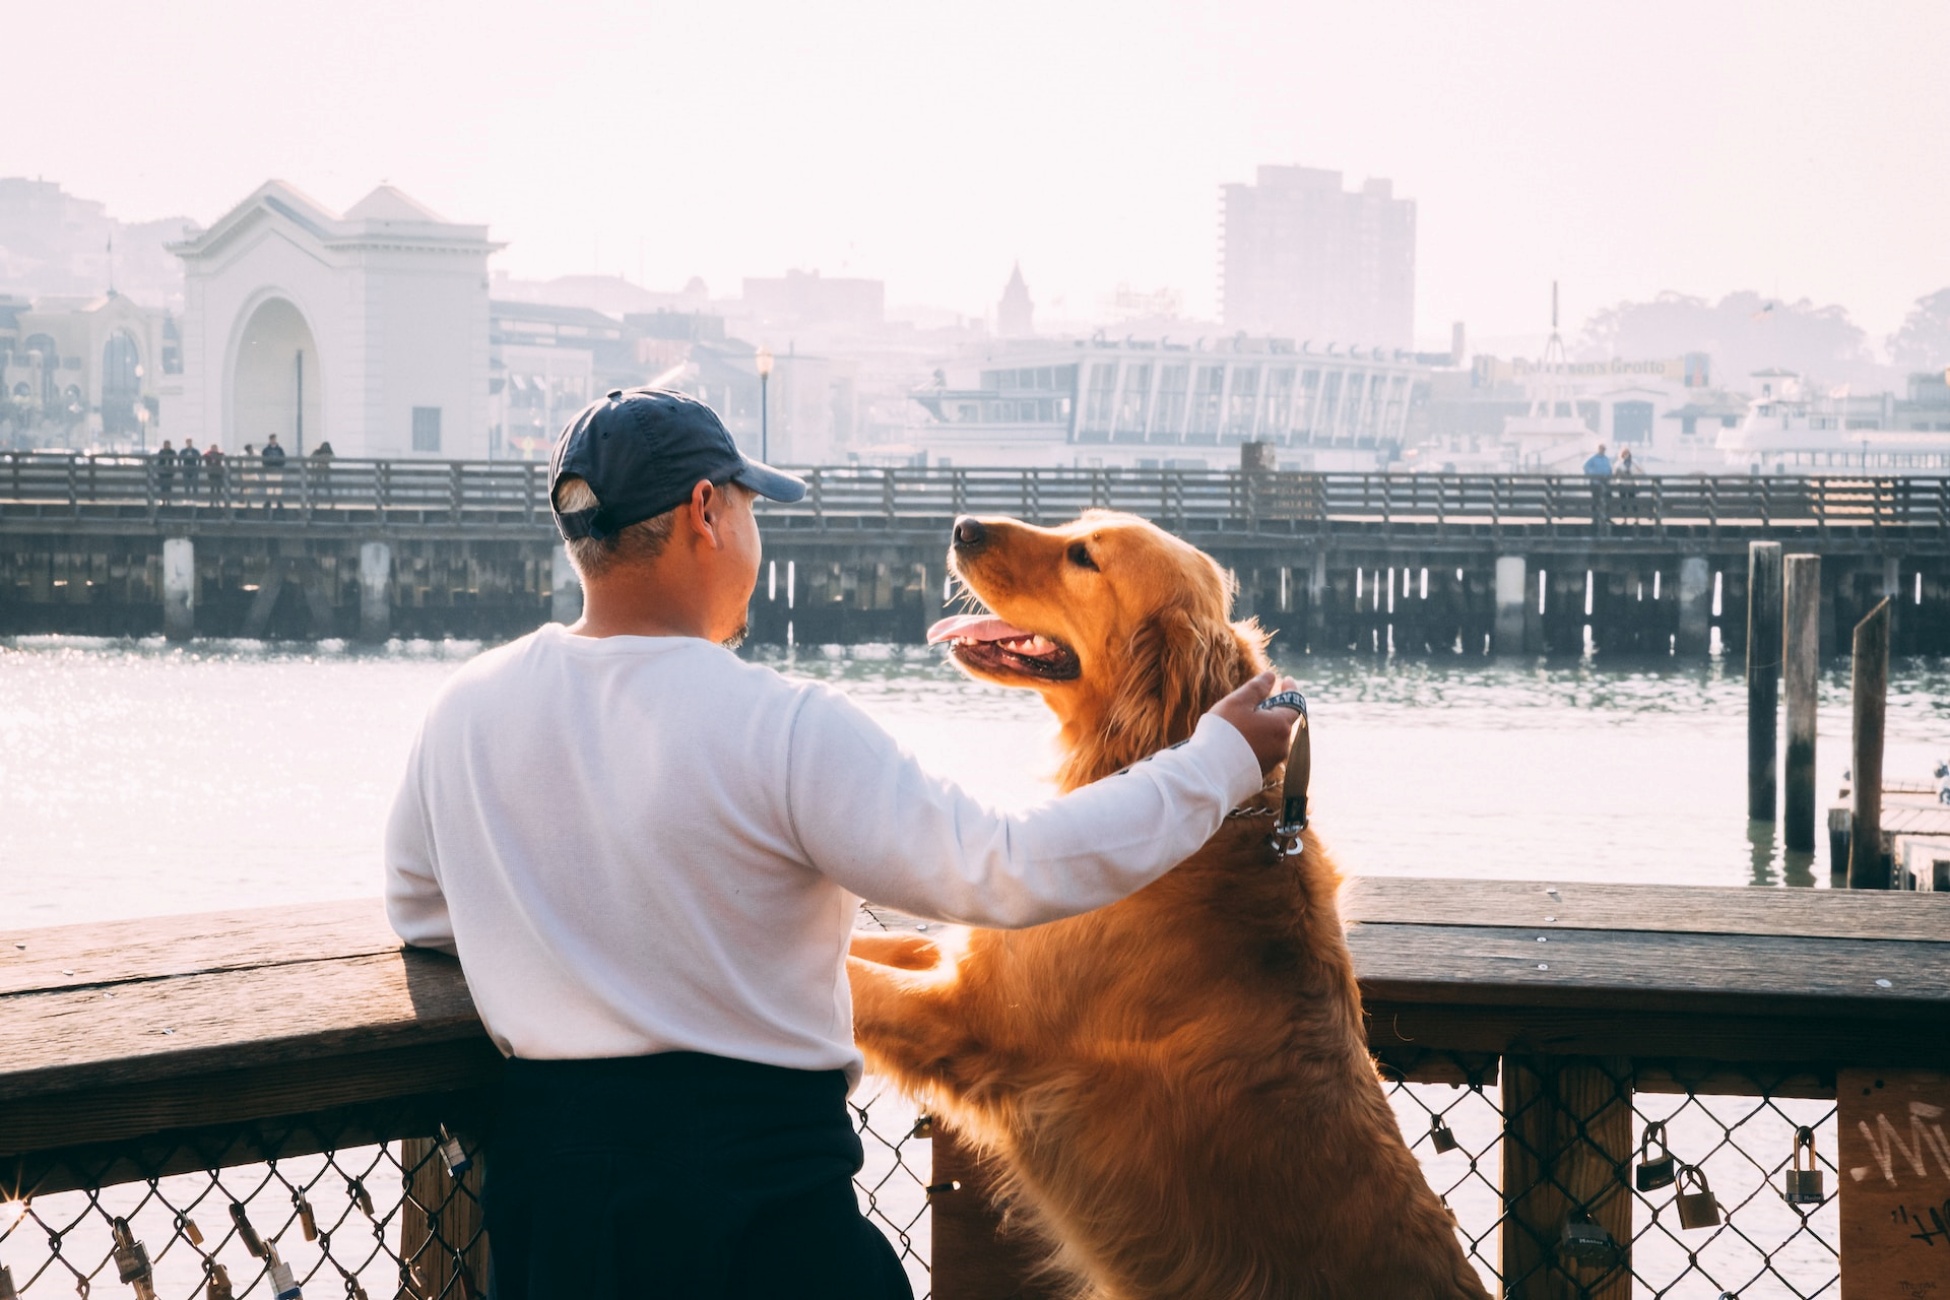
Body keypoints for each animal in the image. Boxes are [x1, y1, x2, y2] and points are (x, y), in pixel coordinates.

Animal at [846, 510, 1482, 1300]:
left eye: (1083, 557)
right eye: (1076, 524)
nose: (962, 526)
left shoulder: (969, 1018)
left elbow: (852, 981)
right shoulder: (967, 958)